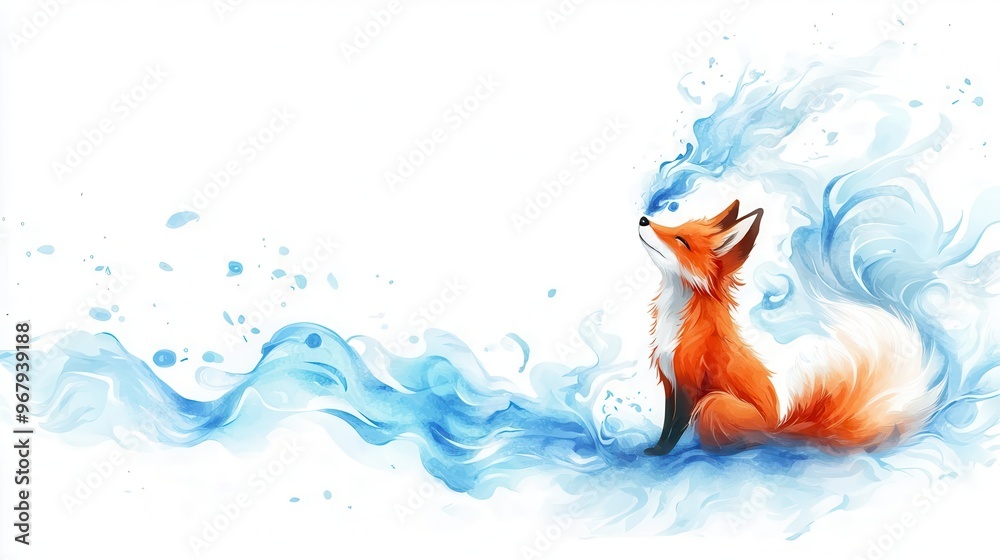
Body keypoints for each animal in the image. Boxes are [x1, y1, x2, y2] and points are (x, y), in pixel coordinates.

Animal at [638, 200, 941, 456]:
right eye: (676, 228)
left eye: (681, 240)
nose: (643, 219)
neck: (674, 325)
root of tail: (778, 427)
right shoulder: (669, 381)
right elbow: (666, 424)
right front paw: (657, 448)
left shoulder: (689, 384)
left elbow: (676, 426)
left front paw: (664, 452)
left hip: (715, 403)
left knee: (748, 442)